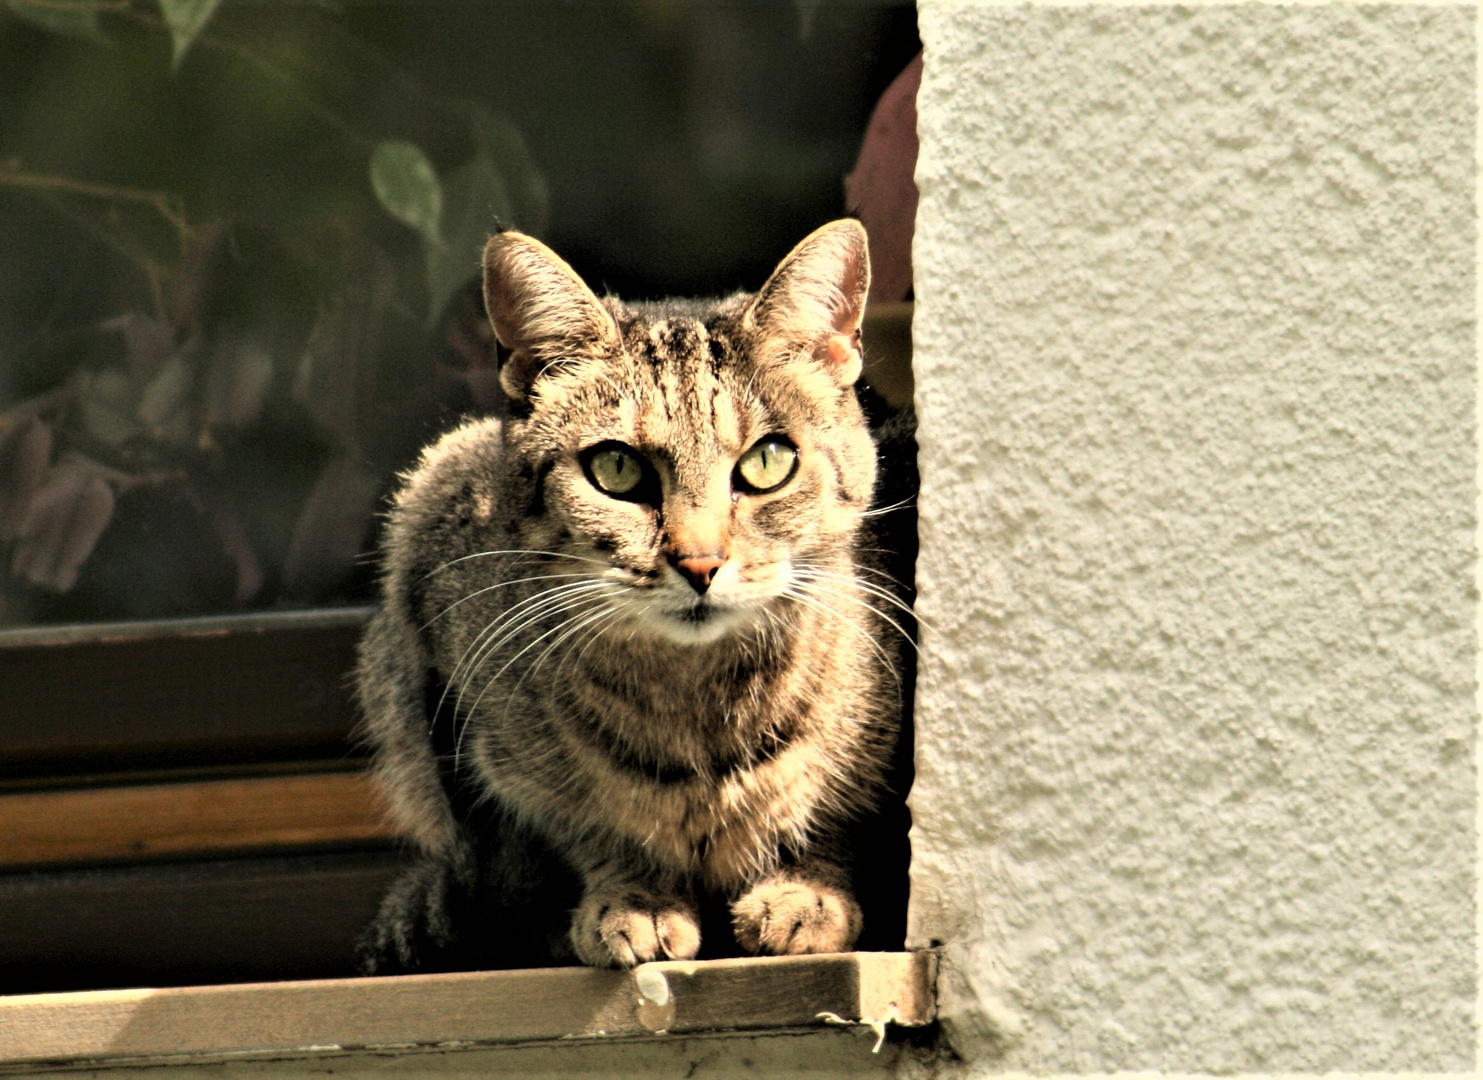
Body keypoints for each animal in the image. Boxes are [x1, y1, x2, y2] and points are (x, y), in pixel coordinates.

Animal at [358, 219, 913, 973]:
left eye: (769, 462)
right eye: (616, 469)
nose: (700, 562)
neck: (698, 713)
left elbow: (836, 819)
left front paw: (806, 891)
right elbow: (579, 835)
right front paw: (634, 898)